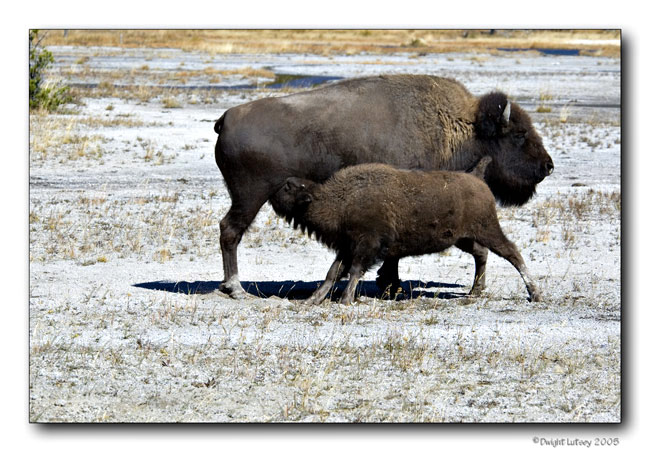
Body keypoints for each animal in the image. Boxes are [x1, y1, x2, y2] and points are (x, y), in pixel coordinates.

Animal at [214, 74, 553, 298]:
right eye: (519, 134)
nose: (548, 166)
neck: (457, 126)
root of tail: (226, 119)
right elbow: (391, 252)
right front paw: (390, 284)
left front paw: (388, 283)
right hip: (250, 197)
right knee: (231, 230)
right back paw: (236, 288)